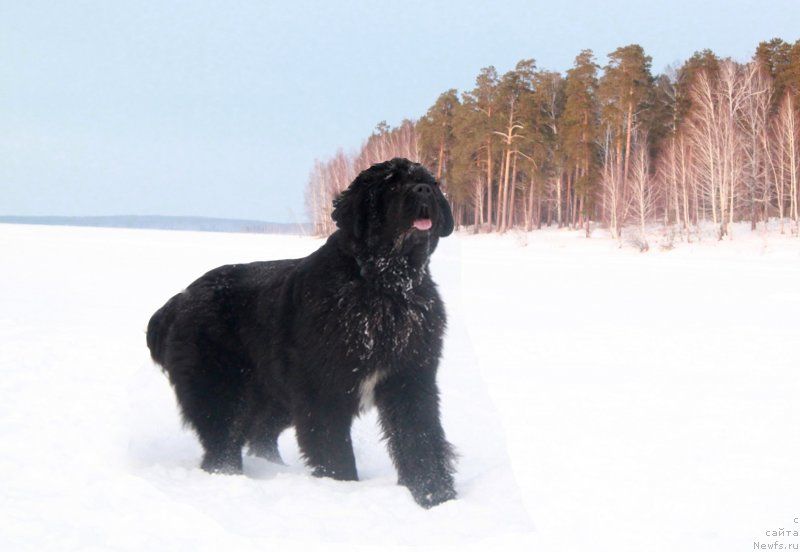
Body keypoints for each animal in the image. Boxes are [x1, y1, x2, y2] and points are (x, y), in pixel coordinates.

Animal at [145, 157, 456, 506]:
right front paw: (343, 490)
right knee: (223, 442)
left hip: (276, 395)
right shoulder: (324, 391)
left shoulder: (409, 379)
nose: (423, 190)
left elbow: (420, 439)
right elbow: (335, 451)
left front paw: (435, 495)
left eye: (431, 182)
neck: (385, 287)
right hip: (221, 387)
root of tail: (177, 300)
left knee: (259, 433)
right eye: (391, 183)